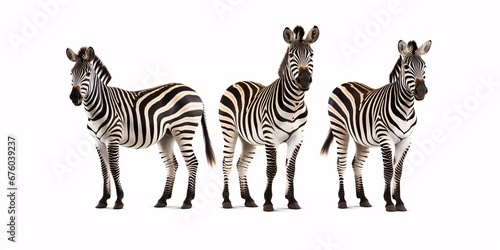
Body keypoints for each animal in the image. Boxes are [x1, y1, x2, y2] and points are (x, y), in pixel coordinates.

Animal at [66, 46, 215, 209]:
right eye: (71, 73)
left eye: (88, 74)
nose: (74, 97)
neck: (98, 106)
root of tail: (194, 92)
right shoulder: (98, 141)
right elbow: (105, 169)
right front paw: (103, 199)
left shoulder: (113, 138)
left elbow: (114, 167)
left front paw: (119, 200)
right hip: (167, 136)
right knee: (172, 164)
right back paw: (163, 199)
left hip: (184, 131)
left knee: (192, 162)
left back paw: (187, 200)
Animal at [219, 25, 320, 211]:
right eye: (291, 55)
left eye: (311, 54)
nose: (304, 81)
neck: (294, 103)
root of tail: (238, 82)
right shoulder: (271, 138)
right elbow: (272, 169)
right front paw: (268, 201)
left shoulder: (297, 137)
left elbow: (291, 169)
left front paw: (291, 200)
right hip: (229, 131)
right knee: (227, 163)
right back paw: (227, 200)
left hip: (248, 139)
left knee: (241, 164)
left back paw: (248, 199)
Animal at [322, 40, 432, 211]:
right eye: (406, 67)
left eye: (424, 66)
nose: (421, 91)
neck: (406, 108)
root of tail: (343, 83)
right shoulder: (385, 138)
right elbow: (388, 170)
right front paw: (389, 202)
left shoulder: (406, 141)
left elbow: (398, 171)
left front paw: (399, 201)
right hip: (340, 130)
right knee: (341, 164)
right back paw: (342, 201)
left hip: (361, 139)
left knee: (357, 164)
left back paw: (363, 199)